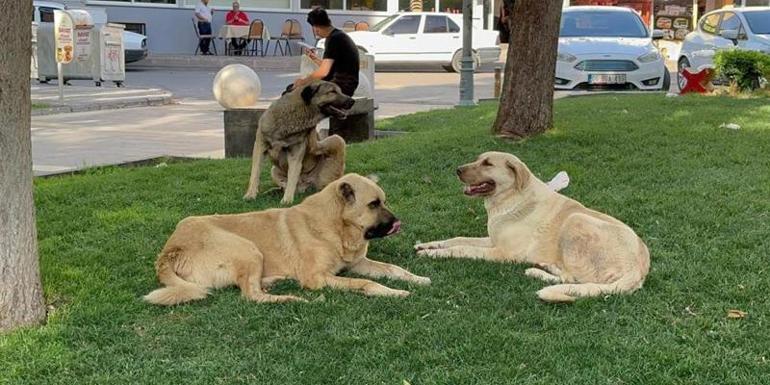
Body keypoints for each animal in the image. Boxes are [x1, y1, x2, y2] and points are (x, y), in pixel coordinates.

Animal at [414, 152, 648, 302]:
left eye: (487, 163)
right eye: (478, 159)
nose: (457, 170)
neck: (511, 198)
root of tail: (638, 270)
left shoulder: (502, 253)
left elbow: (463, 248)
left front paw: (432, 254)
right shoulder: (492, 240)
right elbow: (457, 238)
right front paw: (427, 245)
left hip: (576, 219)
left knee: (573, 278)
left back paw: (539, 271)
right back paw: (544, 266)